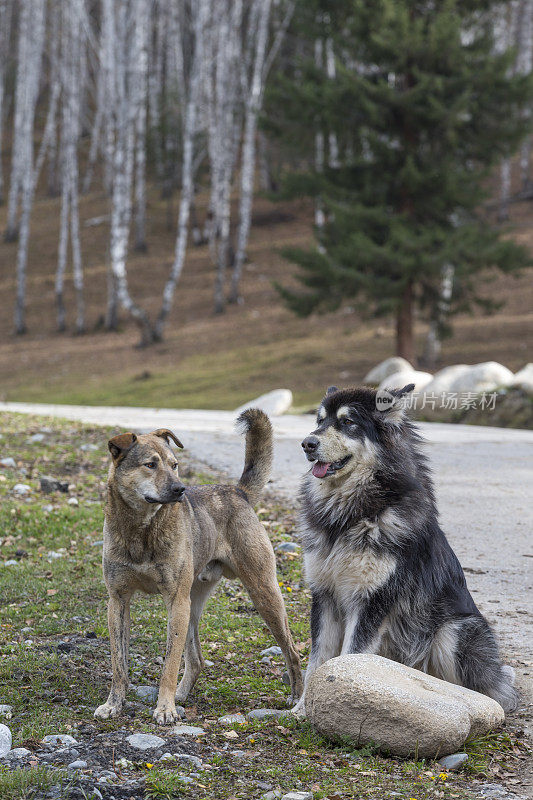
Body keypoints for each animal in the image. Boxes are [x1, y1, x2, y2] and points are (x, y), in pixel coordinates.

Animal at [94, 412, 304, 724]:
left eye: (175, 465)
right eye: (150, 465)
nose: (180, 489)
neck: (141, 528)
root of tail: (237, 491)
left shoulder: (175, 601)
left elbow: (169, 664)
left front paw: (164, 708)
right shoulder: (117, 601)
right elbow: (118, 663)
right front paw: (114, 704)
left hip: (262, 593)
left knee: (292, 650)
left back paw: (296, 696)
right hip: (192, 604)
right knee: (196, 660)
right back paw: (182, 694)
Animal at [290, 384, 516, 716]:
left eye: (348, 422)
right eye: (320, 421)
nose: (307, 443)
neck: (351, 514)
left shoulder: (373, 600)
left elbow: (349, 655)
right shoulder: (324, 595)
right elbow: (317, 660)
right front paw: (303, 710)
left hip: (455, 631)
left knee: (483, 689)